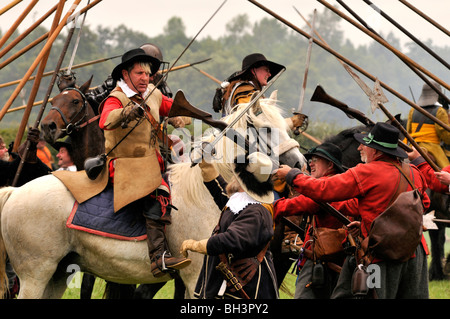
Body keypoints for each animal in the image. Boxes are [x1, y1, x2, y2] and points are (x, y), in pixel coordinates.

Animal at [0, 95, 306, 300]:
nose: (300, 164)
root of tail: (14, 192)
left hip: (58, 274)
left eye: (286, 127)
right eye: (266, 129)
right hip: (36, 274)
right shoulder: (196, 278)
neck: (206, 193)